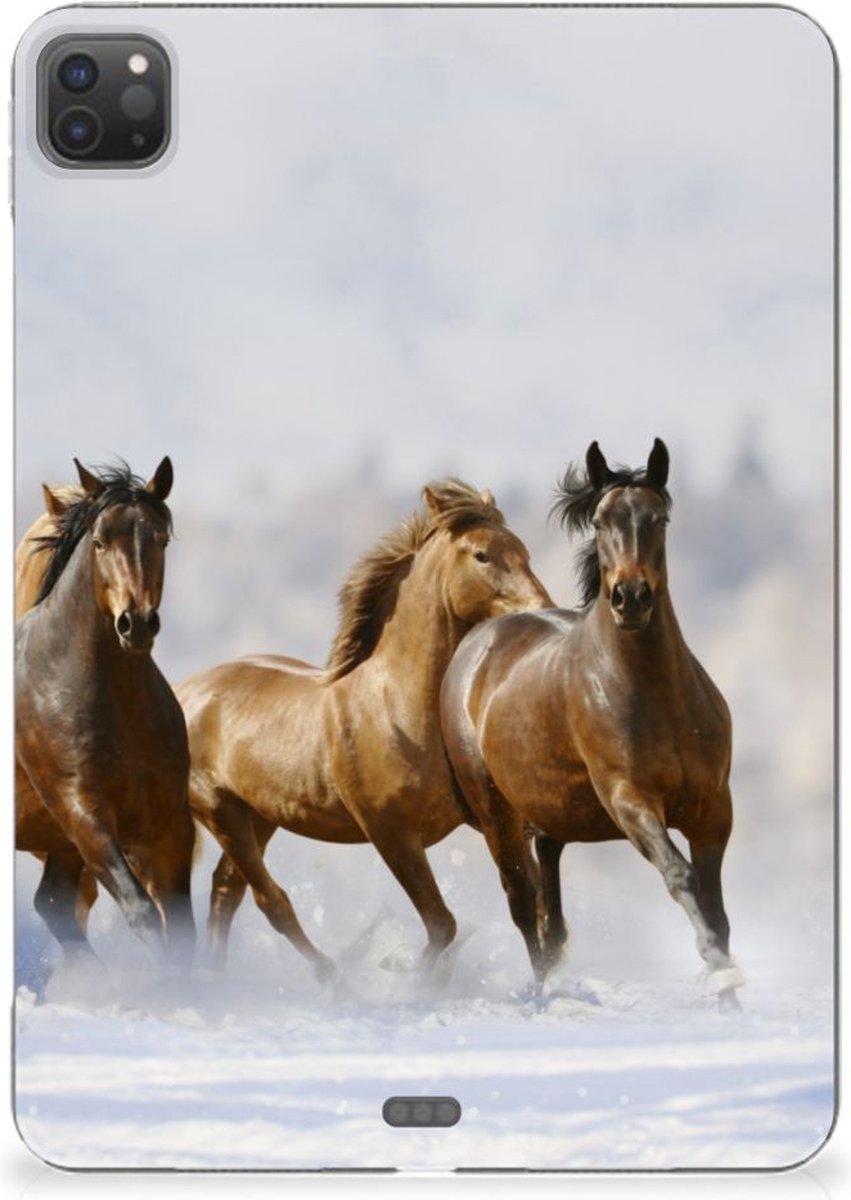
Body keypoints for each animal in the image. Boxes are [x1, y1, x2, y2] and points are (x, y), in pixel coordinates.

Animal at [16, 457, 196, 966]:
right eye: (99, 541)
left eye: (160, 538)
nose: (136, 623)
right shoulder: (85, 816)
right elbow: (142, 912)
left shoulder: (169, 824)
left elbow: (181, 927)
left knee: (54, 903)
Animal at [178, 480, 553, 979]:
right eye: (482, 555)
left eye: (523, 550)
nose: (543, 611)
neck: (397, 707)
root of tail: (182, 692)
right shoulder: (390, 834)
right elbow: (442, 924)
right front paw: (406, 977)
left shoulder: (494, 819)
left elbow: (525, 899)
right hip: (222, 812)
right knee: (269, 900)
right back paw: (334, 978)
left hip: (259, 816)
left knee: (226, 892)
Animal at [440, 440, 743, 1011]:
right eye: (601, 521)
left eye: (659, 518)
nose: (631, 598)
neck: (656, 697)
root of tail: (477, 642)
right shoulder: (629, 800)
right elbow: (682, 877)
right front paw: (720, 974)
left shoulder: (713, 808)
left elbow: (716, 907)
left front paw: (730, 996)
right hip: (497, 816)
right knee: (523, 906)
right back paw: (541, 994)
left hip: (550, 813)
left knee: (549, 903)